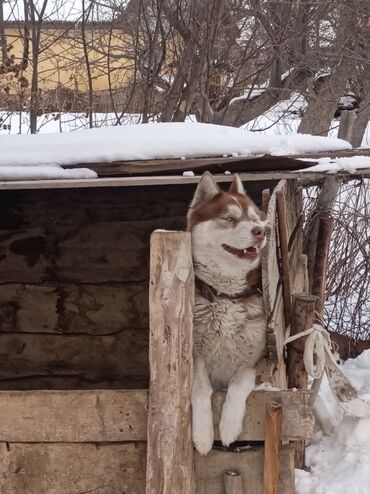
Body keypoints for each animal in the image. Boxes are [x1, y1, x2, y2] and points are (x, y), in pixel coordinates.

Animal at [188, 172, 268, 454]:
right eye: (230, 219)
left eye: (255, 219)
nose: (260, 232)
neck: (225, 295)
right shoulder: (196, 355)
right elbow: (200, 390)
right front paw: (203, 435)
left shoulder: (253, 360)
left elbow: (237, 387)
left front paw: (229, 427)